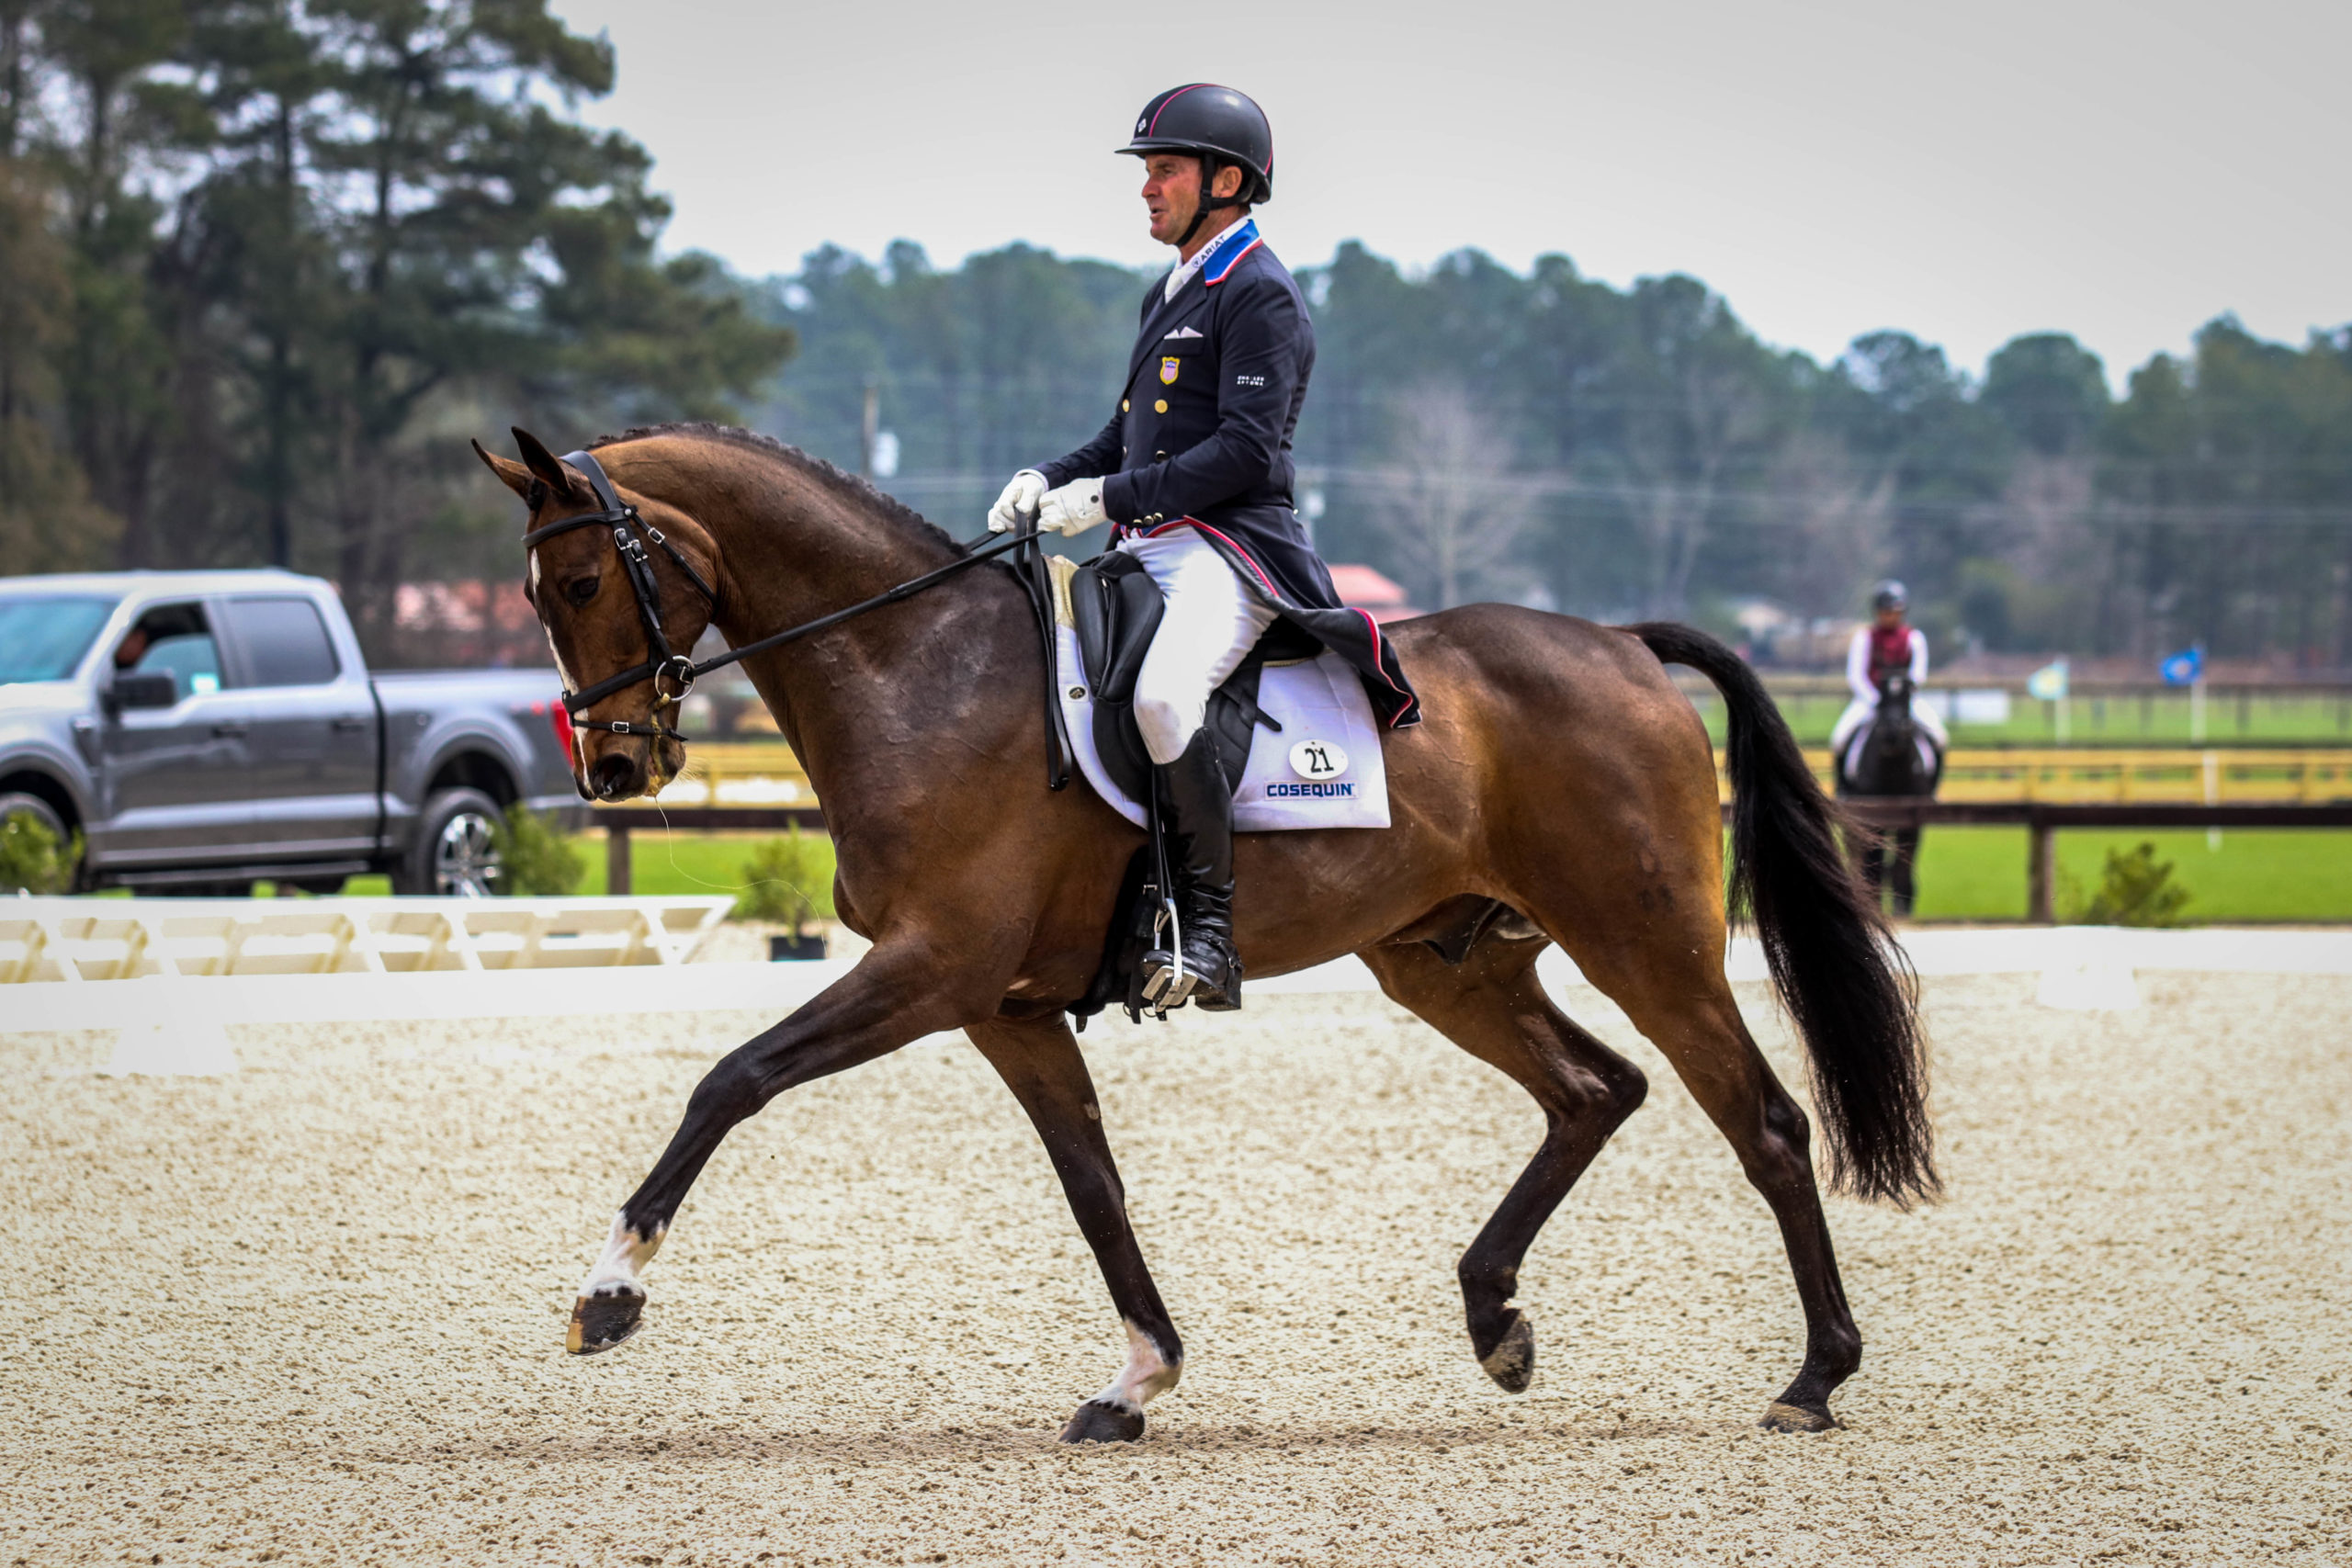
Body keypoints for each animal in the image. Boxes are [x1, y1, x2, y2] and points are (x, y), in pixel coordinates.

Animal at [472, 421, 1928, 1448]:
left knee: (1762, 1122)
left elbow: (734, 1078)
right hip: (1444, 960)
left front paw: (609, 1292)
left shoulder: (933, 967)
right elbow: (1094, 1185)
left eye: (587, 577)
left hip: (1646, 942)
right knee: (1593, 1088)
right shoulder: (1003, 1003)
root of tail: (1622, 646)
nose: (613, 767)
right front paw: (1137, 1380)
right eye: (538, 591)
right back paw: (1495, 1318)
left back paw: (1813, 1376)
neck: (916, 669)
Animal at [1834, 677, 1947, 921]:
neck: (1893, 768)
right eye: (1882, 697)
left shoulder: (1913, 819)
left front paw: (1901, 905)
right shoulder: (1873, 819)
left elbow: (1902, 861)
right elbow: (1875, 861)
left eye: (1907, 696)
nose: (1893, 733)